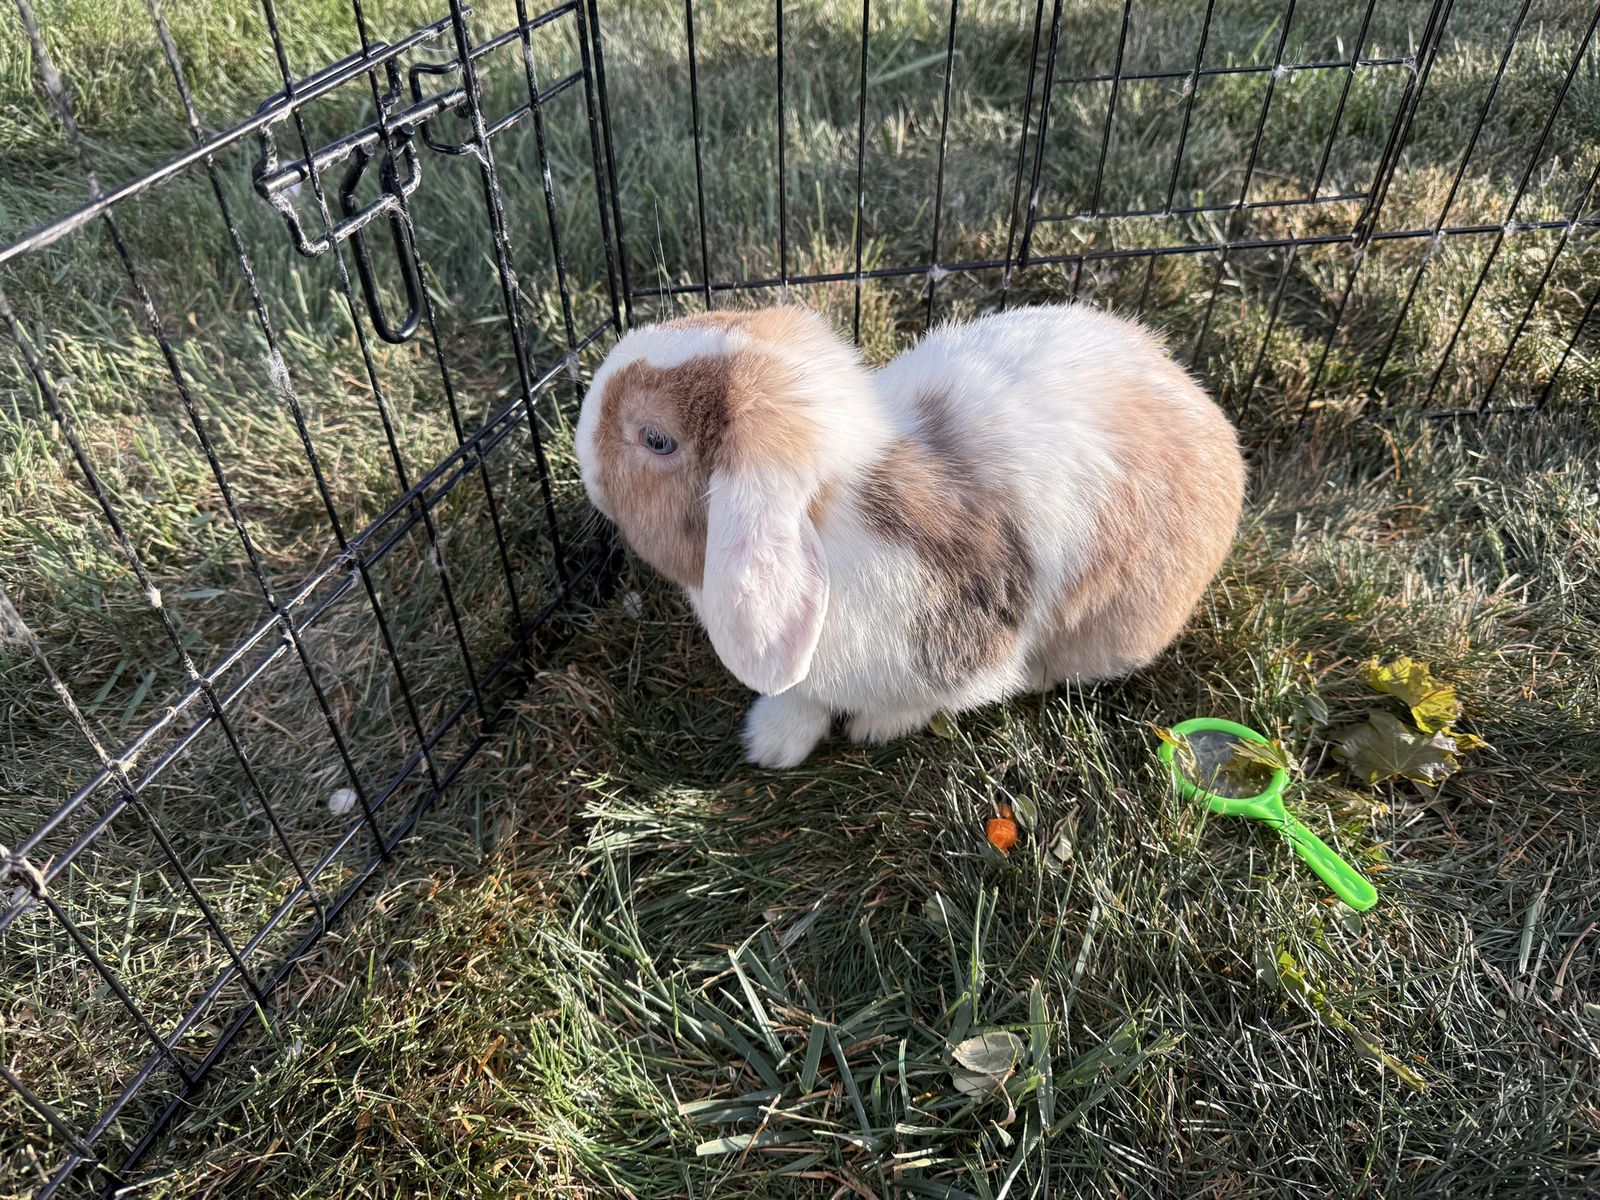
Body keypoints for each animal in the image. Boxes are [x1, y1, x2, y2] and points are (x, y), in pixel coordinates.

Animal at [576, 302, 1245, 769]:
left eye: (656, 439)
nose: (581, 446)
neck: (832, 523)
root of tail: (1212, 418)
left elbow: (934, 697)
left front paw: (878, 727)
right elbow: (802, 698)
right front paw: (772, 744)